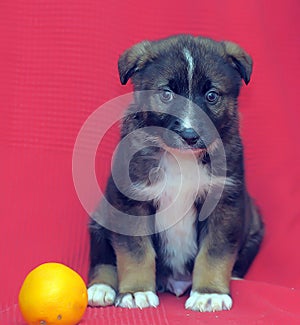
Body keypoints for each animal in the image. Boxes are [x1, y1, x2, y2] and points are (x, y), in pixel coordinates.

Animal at [86, 34, 262, 312]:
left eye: (212, 95)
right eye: (166, 95)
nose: (190, 136)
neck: (182, 158)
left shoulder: (224, 201)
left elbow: (215, 251)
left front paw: (209, 293)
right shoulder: (130, 201)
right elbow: (136, 251)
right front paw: (136, 291)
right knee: (102, 257)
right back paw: (101, 288)